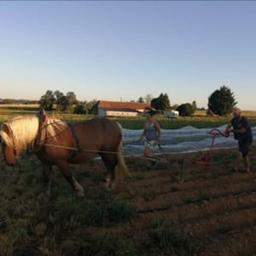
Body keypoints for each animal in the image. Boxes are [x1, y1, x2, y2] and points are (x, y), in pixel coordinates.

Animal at [0, 110, 128, 196]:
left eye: (5, 142)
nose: (9, 163)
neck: (44, 135)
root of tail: (116, 124)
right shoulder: (46, 163)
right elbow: (46, 177)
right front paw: (47, 194)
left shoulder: (61, 162)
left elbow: (68, 176)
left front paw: (79, 190)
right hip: (104, 153)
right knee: (109, 166)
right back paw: (107, 182)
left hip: (108, 152)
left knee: (112, 166)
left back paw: (109, 185)